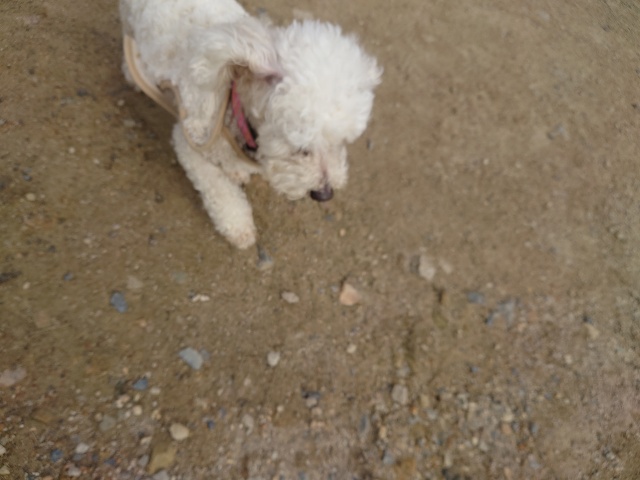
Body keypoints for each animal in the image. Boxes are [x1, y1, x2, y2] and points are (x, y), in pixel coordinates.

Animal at [119, 0, 381, 248]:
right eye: (301, 148)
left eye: (341, 143)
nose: (324, 194)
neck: (234, 103)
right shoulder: (191, 142)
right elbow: (221, 191)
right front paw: (239, 228)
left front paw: (237, 172)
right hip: (129, 21)